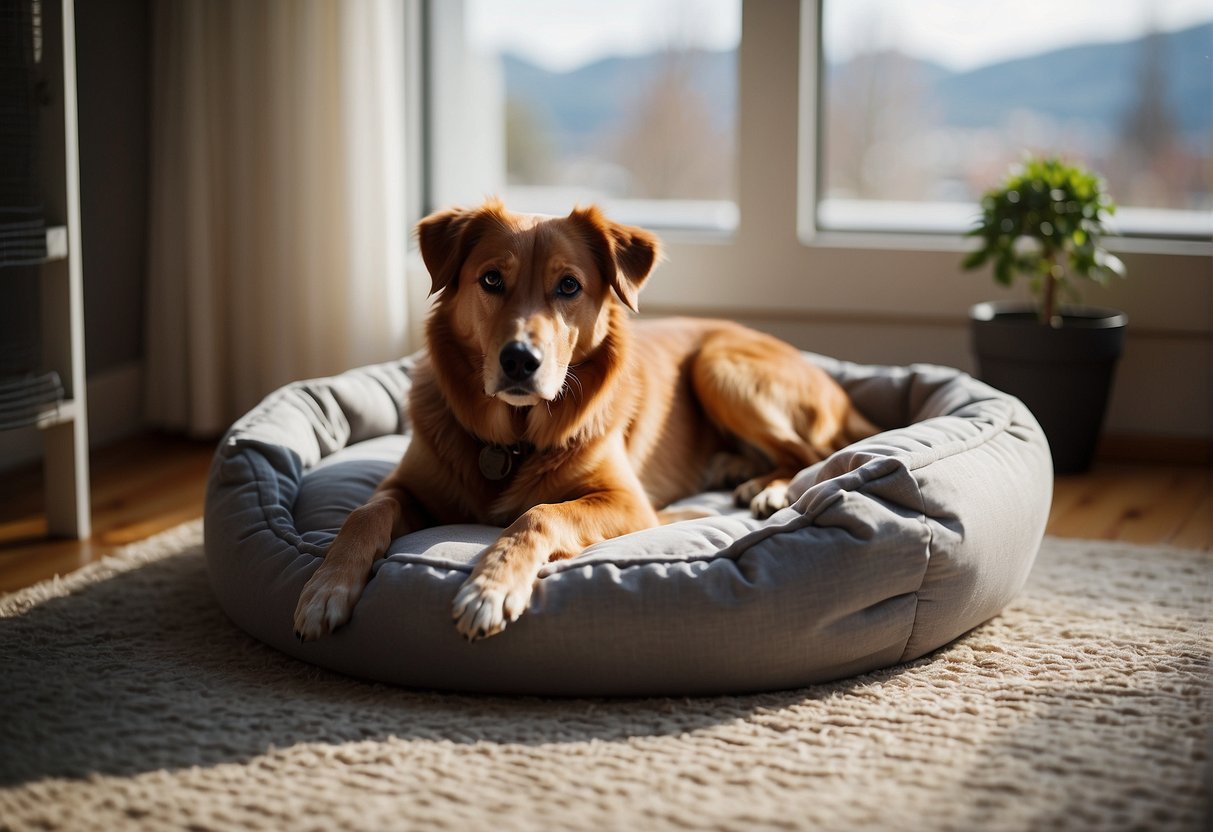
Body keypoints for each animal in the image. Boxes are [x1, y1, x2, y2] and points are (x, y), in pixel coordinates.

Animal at [295, 200, 883, 645]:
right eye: (491, 279)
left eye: (569, 287)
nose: (519, 360)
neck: (514, 439)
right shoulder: (406, 486)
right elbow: (364, 513)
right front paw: (326, 588)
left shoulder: (629, 504)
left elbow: (538, 514)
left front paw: (490, 587)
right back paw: (736, 468)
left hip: (720, 365)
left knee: (810, 454)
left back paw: (770, 488)